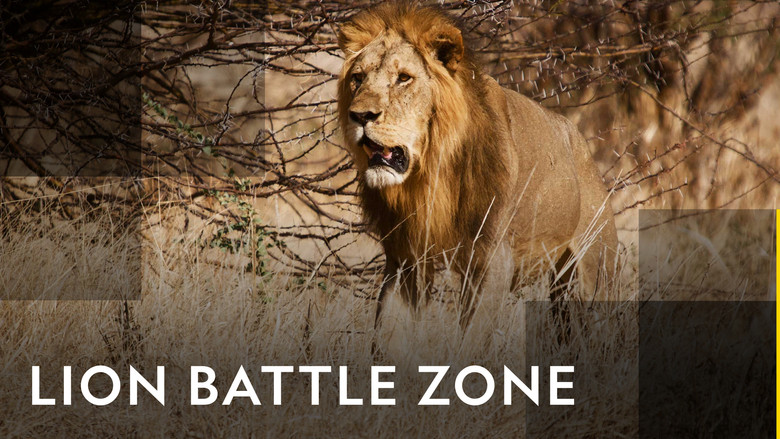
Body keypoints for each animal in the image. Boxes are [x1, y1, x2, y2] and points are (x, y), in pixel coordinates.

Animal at [336, 2, 619, 333]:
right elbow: (386, 332)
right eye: (358, 78)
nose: (360, 115)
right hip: (562, 294)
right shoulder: (404, 260)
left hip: (594, 272)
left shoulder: (492, 260)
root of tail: (579, 141)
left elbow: (472, 334)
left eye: (404, 78)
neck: (430, 175)